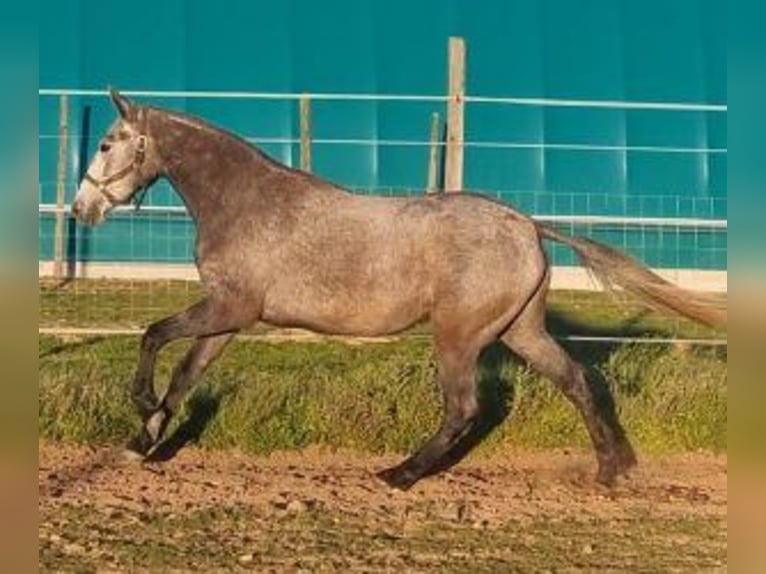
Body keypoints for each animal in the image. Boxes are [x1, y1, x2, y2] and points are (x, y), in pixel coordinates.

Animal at [75, 90, 728, 490]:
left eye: (106, 143)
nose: (83, 208)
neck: (243, 201)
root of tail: (527, 225)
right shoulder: (231, 316)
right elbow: (185, 376)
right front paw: (140, 443)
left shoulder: (231, 305)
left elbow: (153, 335)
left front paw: (140, 410)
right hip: (520, 330)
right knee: (578, 380)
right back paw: (611, 470)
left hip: (458, 336)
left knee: (464, 409)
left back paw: (401, 474)